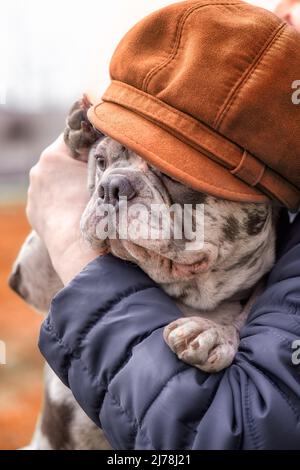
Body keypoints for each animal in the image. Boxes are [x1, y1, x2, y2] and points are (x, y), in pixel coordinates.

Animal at [8, 96, 278, 452]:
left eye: (170, 174)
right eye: (101, 161)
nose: (112, 186)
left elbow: (244, 313)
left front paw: (212, 334)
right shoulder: (33, 273)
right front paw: (80, 131)